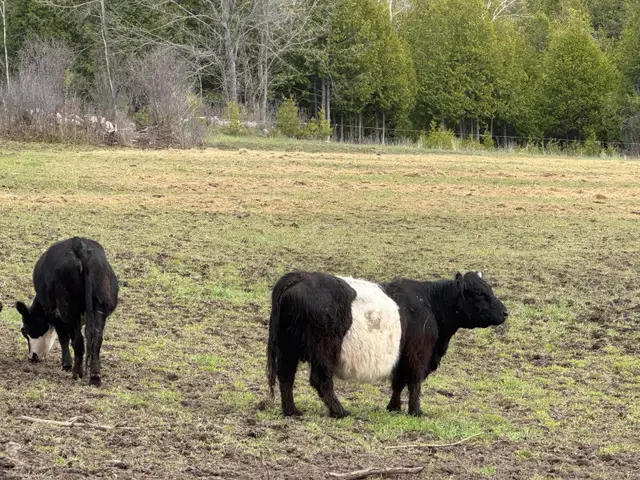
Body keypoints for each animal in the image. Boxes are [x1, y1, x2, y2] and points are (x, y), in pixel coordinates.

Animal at [16, 237, 119, 386]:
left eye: (24, 330)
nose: (32, 357)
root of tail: (79, 245)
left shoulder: (56, 315)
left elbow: (63, 338)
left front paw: (66, 365)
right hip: (99, 306)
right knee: (96, 339)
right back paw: (94, 377)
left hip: (69, 310)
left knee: (78, 340)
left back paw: (77, 373)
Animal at [267, 271, 508, 418]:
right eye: (480, 293)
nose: (505, 312)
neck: (430, 303)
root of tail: (299, 277)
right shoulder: (418, 354)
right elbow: (414, 382)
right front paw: (415, 411)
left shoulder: (402, 355)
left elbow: (398, 382)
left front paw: (393, 407)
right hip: (322, 351)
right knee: (321, 381)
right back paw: (340, 411)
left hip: (287, 349)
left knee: (285, 377)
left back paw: (291, 410)